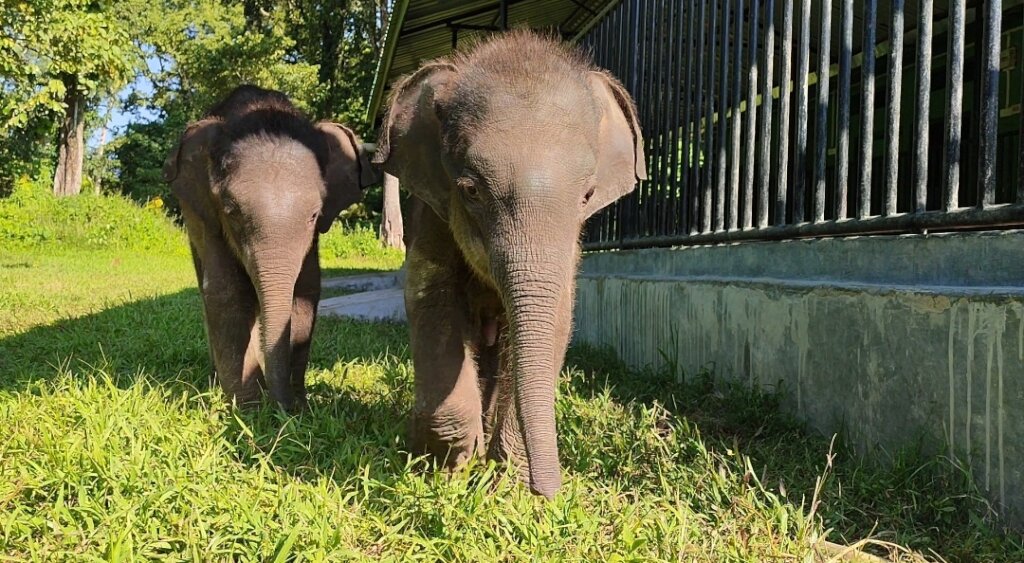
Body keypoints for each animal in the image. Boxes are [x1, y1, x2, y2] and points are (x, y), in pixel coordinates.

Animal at [163, 85, 379, 411]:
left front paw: (299, 405)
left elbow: (306, 289)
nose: (283, 409)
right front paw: (250, 410)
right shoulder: (204, 215)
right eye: (232, 212)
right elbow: (227, 290)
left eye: (314, 215)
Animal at [374, 31, 646, 498]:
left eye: (587, 195)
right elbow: (431, 298)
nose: (551, 494)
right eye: (470, 190)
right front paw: (448, 467)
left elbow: (556, 320)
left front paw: (507, 482)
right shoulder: (431, 215)